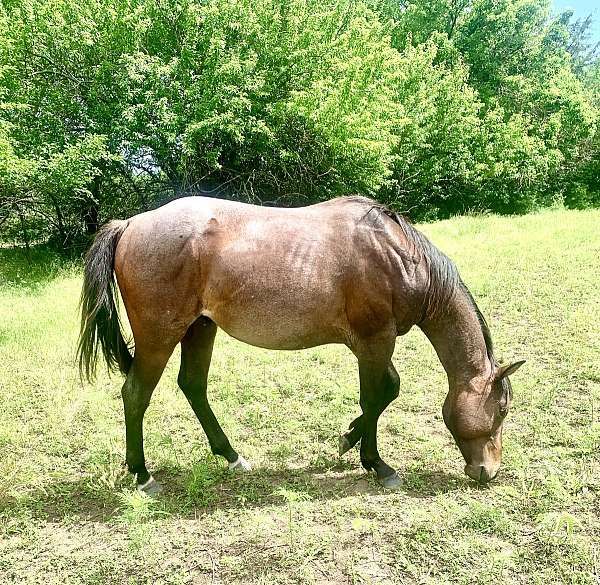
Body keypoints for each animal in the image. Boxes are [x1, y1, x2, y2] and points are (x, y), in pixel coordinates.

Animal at [77, 196, 524, 492]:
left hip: (200, 328)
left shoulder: (371, 346)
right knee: (136, 394)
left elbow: (385, 393)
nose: (488, 471)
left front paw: (349, 439)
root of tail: (131, 224)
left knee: (193, 386)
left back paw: (231, 456)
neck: (398, 256)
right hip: (160, 337)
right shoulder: (374, 342)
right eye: (502, 408)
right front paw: (376, 463)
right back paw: (142, 475)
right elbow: (377, 395)